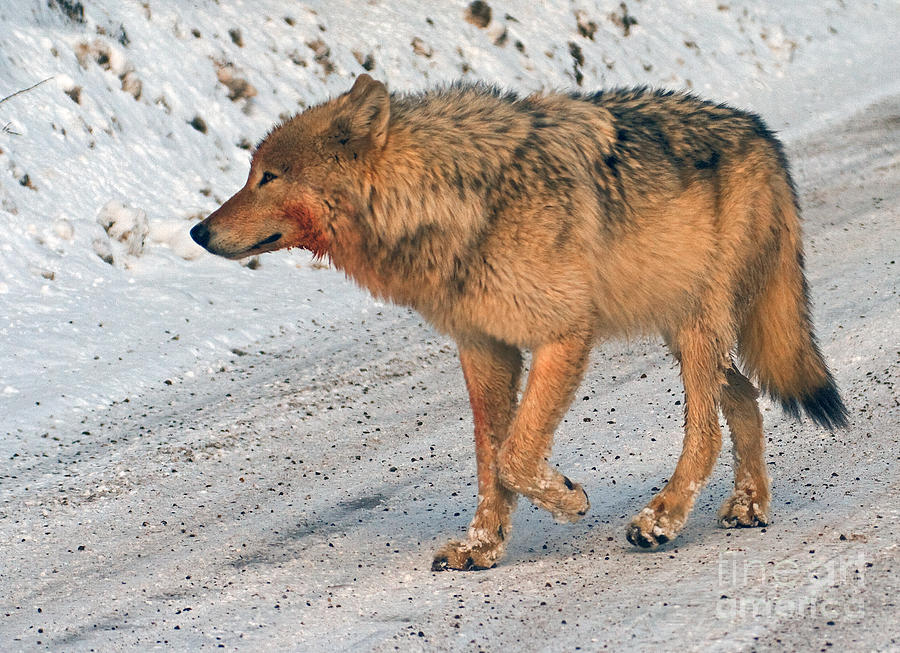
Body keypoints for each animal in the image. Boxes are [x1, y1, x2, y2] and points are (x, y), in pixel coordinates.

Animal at [192, 74, 852, 568]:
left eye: (268, 177)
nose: (198, 232)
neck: (453, 201)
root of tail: (762, 131)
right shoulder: (484, 348)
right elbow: (491, 457)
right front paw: (482, 548)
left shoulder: (563, 336)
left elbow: (515, 454)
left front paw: (569, 501)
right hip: (679, 330)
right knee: (742, 396)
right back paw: (749, 506)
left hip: (693, 327)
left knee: (708, 426)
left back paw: (661, 519)